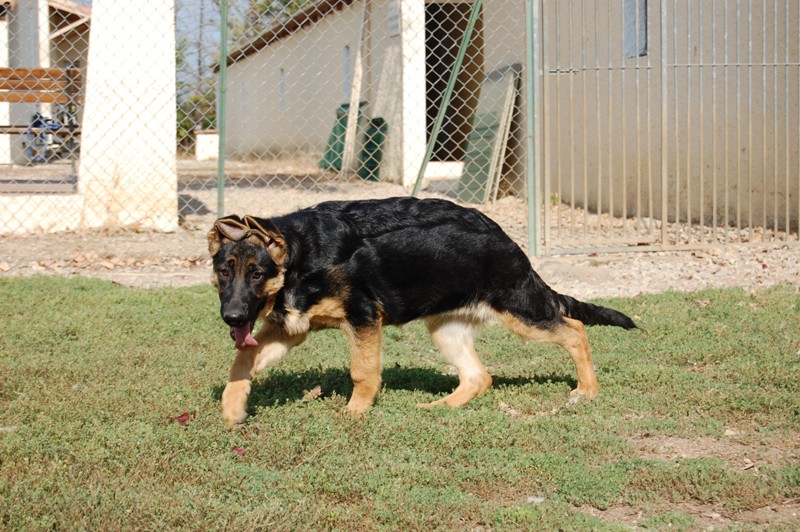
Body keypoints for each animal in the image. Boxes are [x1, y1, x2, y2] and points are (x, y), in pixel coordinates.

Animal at [209, 197, 636, 426]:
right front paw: (233, 407)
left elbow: (362, 371)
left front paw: (355, 413)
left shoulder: (364, 318)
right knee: (479, 377)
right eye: (224, 271)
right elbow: (242, 359)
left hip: (522, 312)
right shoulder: (290, 329)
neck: (299, 257)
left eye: (257, 273)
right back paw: (438, 407)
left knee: (575, 328)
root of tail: (505, 237)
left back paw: (586, 391)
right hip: (447, 329)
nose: (233, 318)